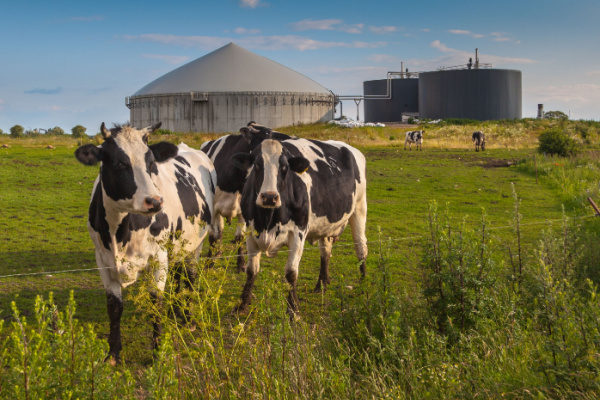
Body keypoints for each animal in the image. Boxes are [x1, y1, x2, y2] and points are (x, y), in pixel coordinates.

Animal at [74, 122, 216, 362]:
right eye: (120, 163)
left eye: (151, 164)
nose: (155, 201)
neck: (119, 233)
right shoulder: (102, 260)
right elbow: (114, 307)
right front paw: (113, 352)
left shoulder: (158, 257)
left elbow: (155, 303)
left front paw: (158, 351)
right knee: (178, 274)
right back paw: (175, 311)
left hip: (195, 244)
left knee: (190, 277)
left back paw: (187, 317)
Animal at [200, 122, 292, 272]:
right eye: (268, 133)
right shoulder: (213, 209)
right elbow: (214, 236)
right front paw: (209, 263)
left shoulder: (244, 210)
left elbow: (240, 237)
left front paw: (241, 263)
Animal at [231, 139, 368, 318]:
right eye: (257, 166)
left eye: (284, 168)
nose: (269, 197)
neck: (268, 220)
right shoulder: (251, 231)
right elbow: (251, 270)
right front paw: (242, 305)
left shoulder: (298, 233)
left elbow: (291, 272)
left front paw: (293, 310)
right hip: (326, 226)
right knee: (325, 252)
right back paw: (321, 284)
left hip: (359, 208)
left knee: (361, 247)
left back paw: (363, 284)